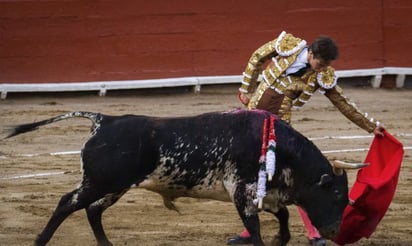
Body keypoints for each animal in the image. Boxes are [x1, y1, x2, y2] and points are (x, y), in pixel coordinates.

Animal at [5, 109, 360, 246]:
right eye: (336, 195)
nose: (334, 231)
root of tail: (104, 120)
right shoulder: (242, 192)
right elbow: (256, 225)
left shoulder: (267, 194)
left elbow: (283, 215)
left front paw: (280, 239)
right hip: (100, 183)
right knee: (68, 203)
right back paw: (40, 240)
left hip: (114, 186)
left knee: (92, 210)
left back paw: (106, 244)